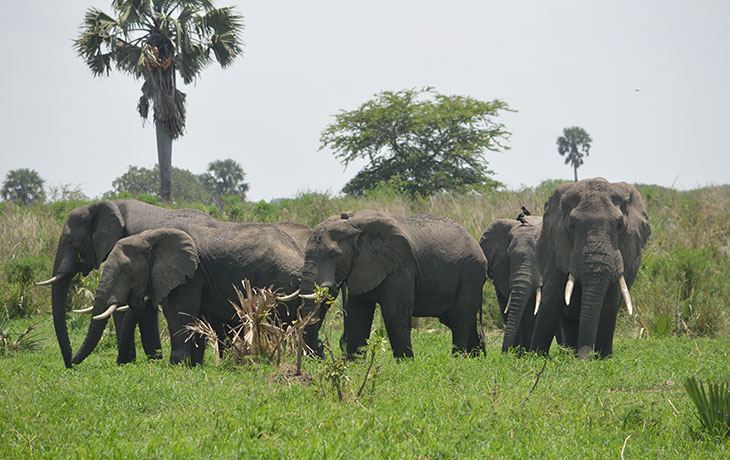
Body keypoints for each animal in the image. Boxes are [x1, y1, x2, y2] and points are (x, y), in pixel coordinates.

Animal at [36, 199, 309, 368]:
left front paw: (168, 364)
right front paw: (176, 362)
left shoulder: (188, 274)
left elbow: (171, 311)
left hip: (278, 284)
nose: (70, 364)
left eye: (71, 242)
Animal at [298, 210, 487, 359]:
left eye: (332, 255)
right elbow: (357, 315)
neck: (353, 224)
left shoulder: (400, 266)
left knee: (460, 317)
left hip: (470, 273)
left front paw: (406, 364)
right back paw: (476, 359)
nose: (320, 347)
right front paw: (355, 365)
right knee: (456, 318)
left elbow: (394, 314)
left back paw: (459, 360)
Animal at [530, 178, 650, 359]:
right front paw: (536, 356)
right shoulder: (558, 244)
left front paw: (604, 357)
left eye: (619, 226)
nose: (584, 358)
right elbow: (551, 297)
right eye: (572, 225)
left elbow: (610, 300)